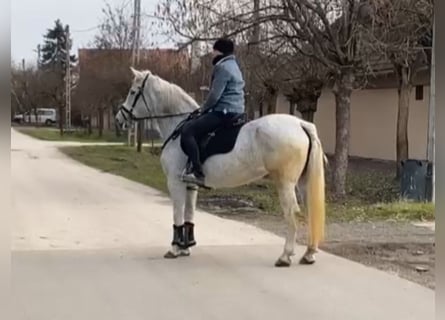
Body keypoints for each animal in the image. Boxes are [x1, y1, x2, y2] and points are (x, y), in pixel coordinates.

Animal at [114, 67, 324, 268]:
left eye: (133, 92)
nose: (119, 119)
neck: (178, 127)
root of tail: (300, 124)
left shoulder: (174, 182)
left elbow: (177, 213)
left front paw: (174, 249)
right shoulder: (191, 184)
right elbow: (188, 212)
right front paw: (185, 247)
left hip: (285, 183)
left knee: (292, 214)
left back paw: (285, 256)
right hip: (302, 182)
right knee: (310, 212)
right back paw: (309, 254)